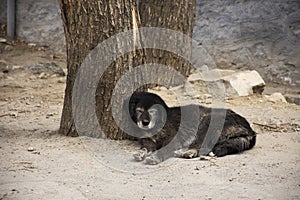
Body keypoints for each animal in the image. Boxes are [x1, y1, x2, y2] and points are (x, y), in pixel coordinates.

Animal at [125, 91, 256, 165]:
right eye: (139, 111)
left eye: (152, 111)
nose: (145, 123)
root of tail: (251, 129)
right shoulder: (148, 142)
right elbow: (145, 148)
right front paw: (140, 153)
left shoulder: (174, 139)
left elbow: (164, 150)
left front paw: (155, 157)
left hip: (206, 123)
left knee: (202, 146)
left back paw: (187, 152)